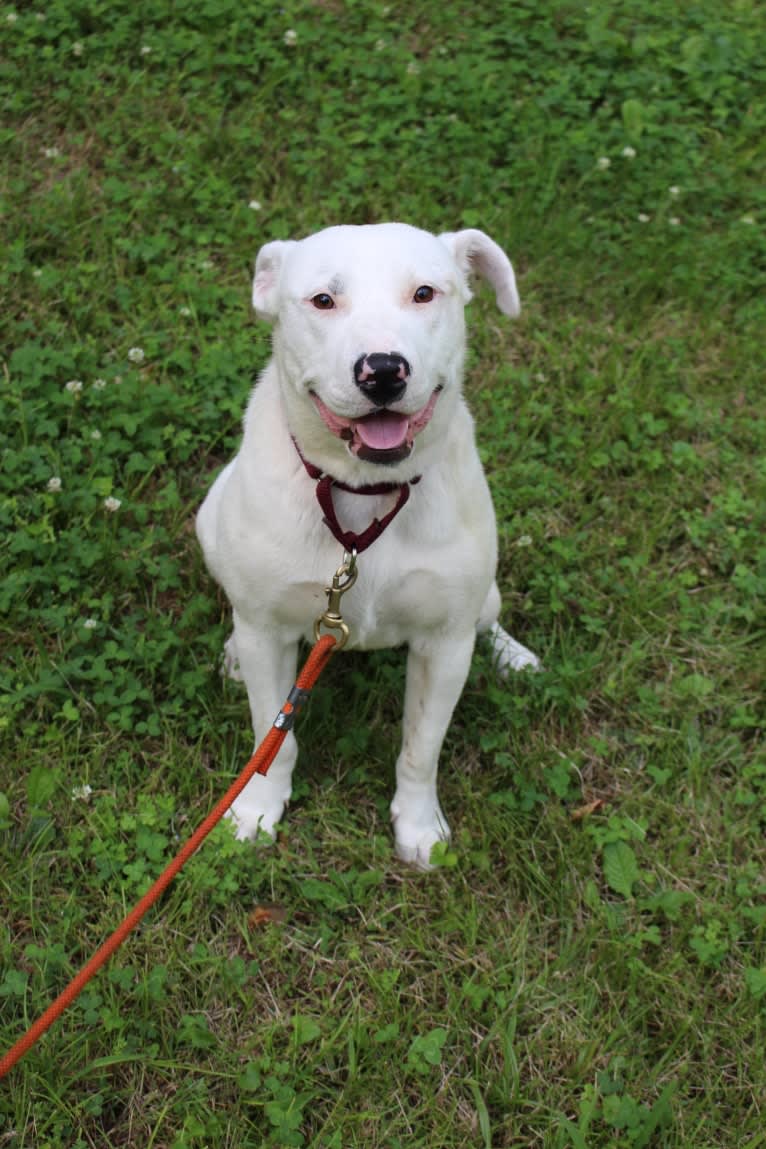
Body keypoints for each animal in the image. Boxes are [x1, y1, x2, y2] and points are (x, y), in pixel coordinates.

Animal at [197, 224, 539, 864]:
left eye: (425, 293)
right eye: (323, 300)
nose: (382, 370)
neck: (363, 492)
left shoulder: (444, 646)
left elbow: (421, 749)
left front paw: (419, 827)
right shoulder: (270, 638)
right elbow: (270, 739)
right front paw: (257, 809)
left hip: (480, 598)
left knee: (489, 616)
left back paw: (514, 657)